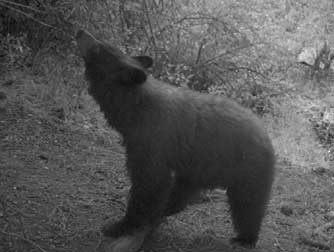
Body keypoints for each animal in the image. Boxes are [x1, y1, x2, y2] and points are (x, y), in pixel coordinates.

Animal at [77, 29, 276, 250]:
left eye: (98, 48)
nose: (81, 32)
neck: (136, 108)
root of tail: (266, 135)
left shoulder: (152, 141)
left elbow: (150, 182)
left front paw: (120, 225)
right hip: (198, 168)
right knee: (182, 192)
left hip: (246, 168)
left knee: (248, 204)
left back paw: (244, 238)